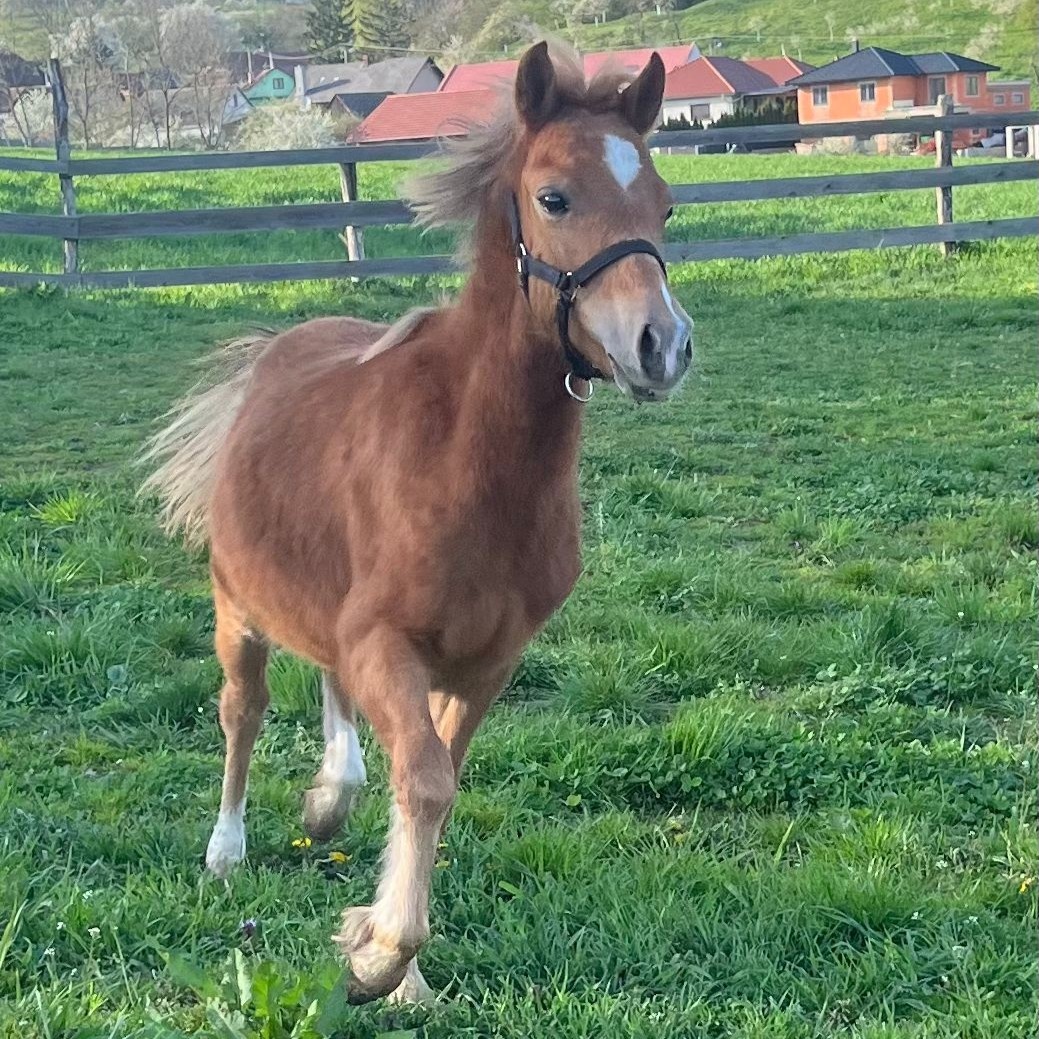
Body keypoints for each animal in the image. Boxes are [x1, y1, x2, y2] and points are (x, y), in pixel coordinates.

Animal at [143, 41, 693, 1005]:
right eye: (554, 197)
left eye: (664, 204)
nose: (661, 345)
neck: (465, 462)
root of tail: (273, 354)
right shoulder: (384, 641)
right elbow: (425, 780)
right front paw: (377, 954)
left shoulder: (483, 662)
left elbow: (432, 776)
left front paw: (386, 951)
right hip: (236, 609)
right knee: (242, 712)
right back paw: (227, 848)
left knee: (329, 690)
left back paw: (328, 798)